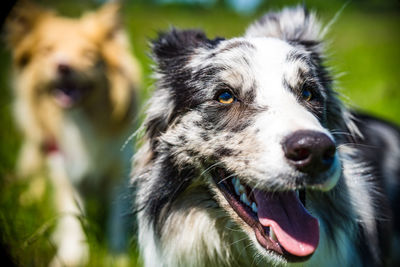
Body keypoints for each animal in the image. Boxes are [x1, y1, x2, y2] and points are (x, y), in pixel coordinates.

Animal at [5, 1, 141, 266]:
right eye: (47, 51)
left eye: (89, 55)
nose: (63, 66)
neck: (80, 120)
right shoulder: (65, 167)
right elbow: (71, 217)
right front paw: (70, 257)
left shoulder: (119, 170)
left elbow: (116, 220)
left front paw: (115, 257)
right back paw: (30, 195)